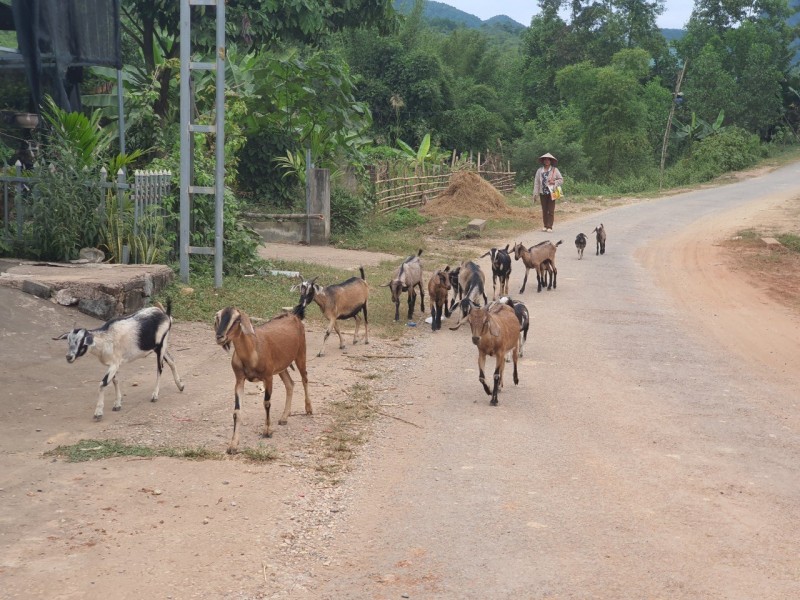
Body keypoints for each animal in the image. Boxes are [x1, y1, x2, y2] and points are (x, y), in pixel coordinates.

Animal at [54, 300, 184, 422]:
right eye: (68, 341)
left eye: (81, 342)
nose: (69, 357)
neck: (105, 339)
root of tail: (166, 315)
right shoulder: (113, 364)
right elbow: (115, 381)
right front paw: (117, 404)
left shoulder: (114, 364)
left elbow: (103, 383)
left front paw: (98, 413)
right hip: (158, 347)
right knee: (171, 360)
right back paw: (180, 385)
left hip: (161, 345)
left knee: (160, 368)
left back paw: (155, 395)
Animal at [214, 308, 310, 452]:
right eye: (218, 317)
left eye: (237, 319)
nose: (219, 336)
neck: (252, 352)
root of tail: (293, 316)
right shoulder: (239, 379)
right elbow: (237, 411)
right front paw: (233, 445)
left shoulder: (268, 376)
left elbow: (267, 403)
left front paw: (267, 431)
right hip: (281, 366)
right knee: (290, 384)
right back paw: (284, 418)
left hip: (301, 353)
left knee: (304, 378)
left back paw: (309, 409)